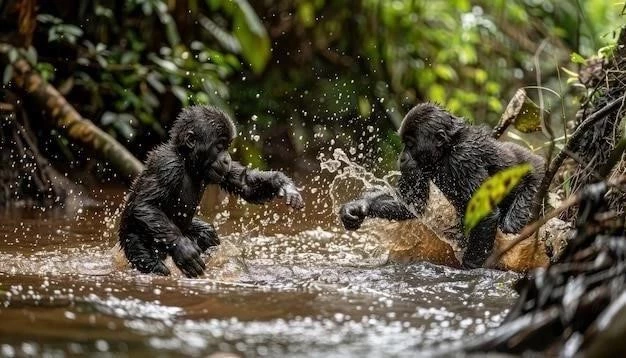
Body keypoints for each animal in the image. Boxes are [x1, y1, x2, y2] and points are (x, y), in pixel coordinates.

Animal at [118, 105, 304, 278]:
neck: (187, 161)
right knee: (152, 263)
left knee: (208, 233)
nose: (227, 159)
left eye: (227, 146)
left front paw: (283, 184)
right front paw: (183, 249)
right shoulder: (167, 165)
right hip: (134, 242)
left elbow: (244, 184)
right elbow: (146, 205)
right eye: (219, 146)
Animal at [338, 102, 544, 268]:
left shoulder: (463, 160)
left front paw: (470, 268)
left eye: (410, 144)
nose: (402, 157)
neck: (446, 149)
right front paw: (357, 207)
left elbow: (485, 214)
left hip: (536, 184)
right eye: (403, 143)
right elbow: (411, 204)